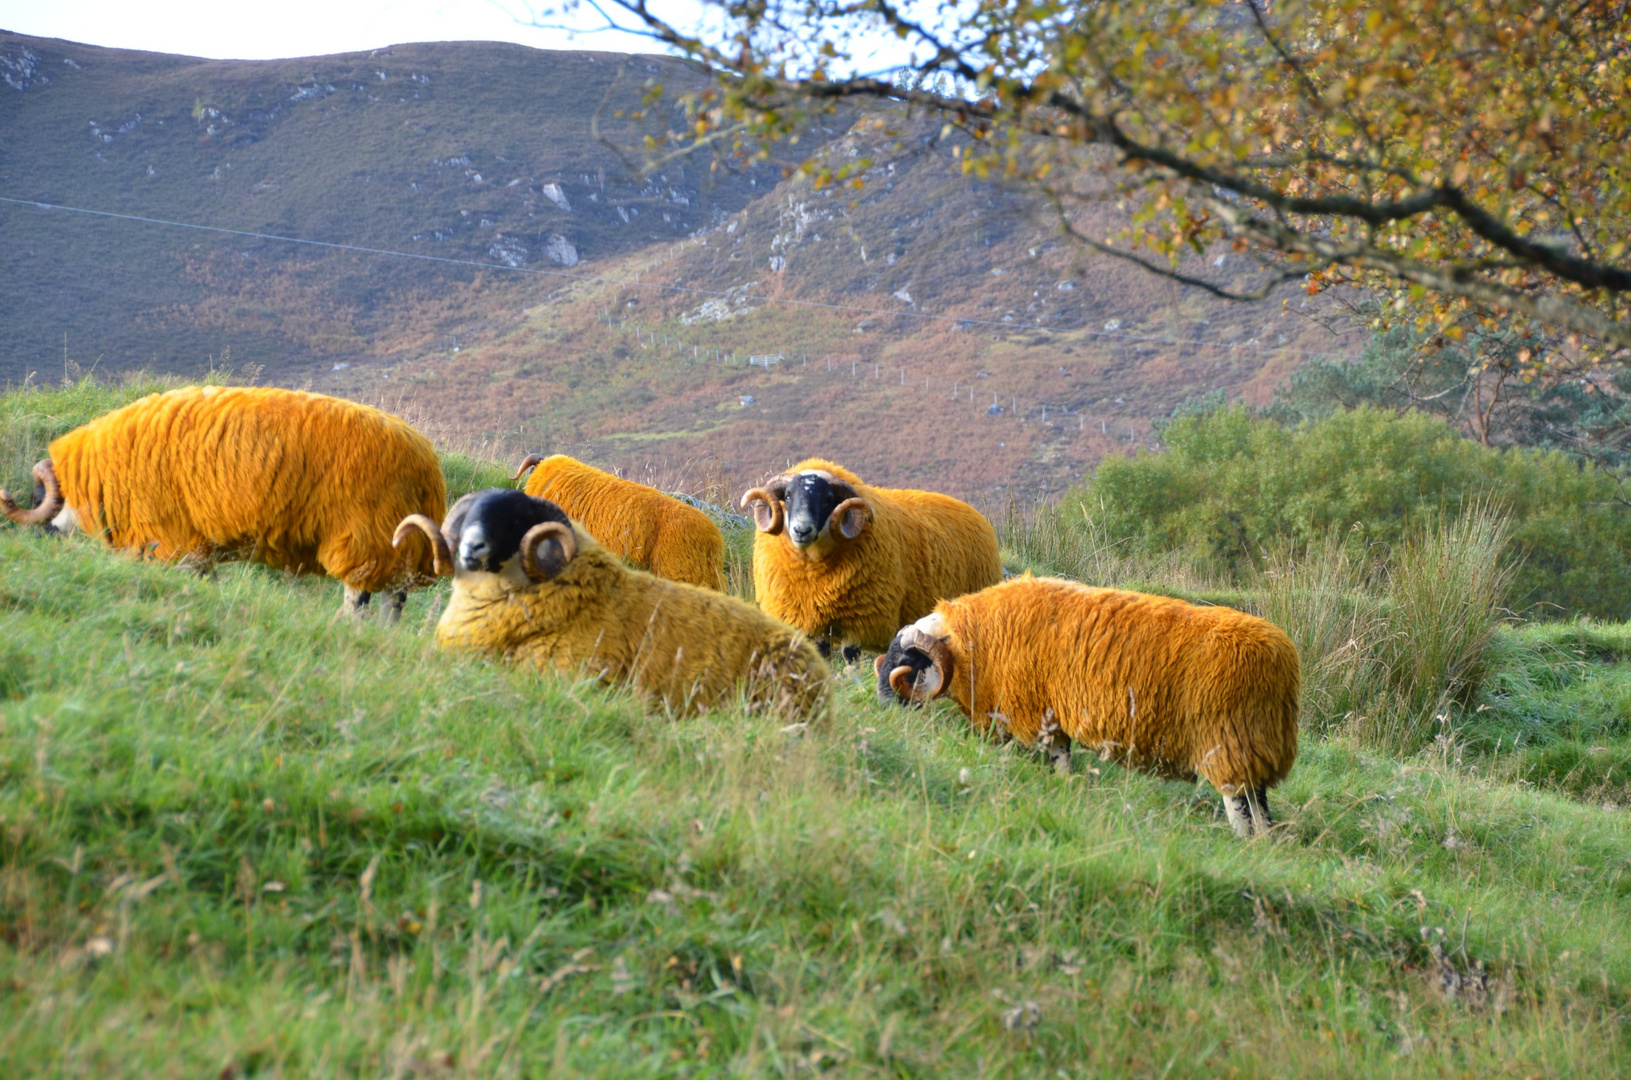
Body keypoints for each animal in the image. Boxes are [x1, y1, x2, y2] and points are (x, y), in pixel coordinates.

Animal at [0, 385, 446, 623]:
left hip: (366, 535)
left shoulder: (174, 542)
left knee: (361, 599)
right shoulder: (198, 549)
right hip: (399, 544)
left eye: (39, 498)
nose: (43, 541)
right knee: (394, 598)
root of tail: (426, 465)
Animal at [743, 460, 998, 659]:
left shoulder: (862, 616)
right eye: (787, 496)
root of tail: (976, 514)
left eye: (828, 499)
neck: (812, 566)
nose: (801, 530)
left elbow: (850, 656)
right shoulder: (812, 620)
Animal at [880, 574, 1298, 835]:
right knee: (1261, 811)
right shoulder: (1052, 720)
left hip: (1230, 747)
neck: (970, 645)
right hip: (1253, 749)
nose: (881, 707)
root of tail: (1284, 664)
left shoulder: (1027, 713)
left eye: (906, 661)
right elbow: (1062, 764)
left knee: (1242, 812)